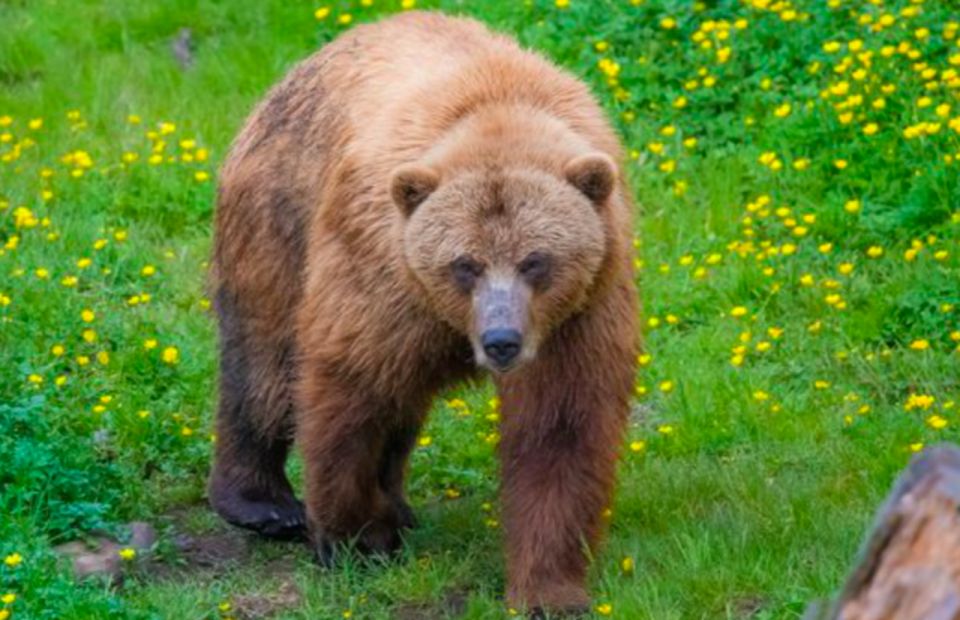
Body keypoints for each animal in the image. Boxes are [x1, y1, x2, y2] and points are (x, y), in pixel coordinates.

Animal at [212, 9, 636, 616]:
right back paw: (264, 504)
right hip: (278, 216)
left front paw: (548, 589)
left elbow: (560, 428)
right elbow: (350, 393)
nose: (501, 340)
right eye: (465, 263)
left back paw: (398, 506)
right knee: (265, 361)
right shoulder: (381, 274)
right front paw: (354, 539)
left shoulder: (579, 311)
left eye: (535, 260)